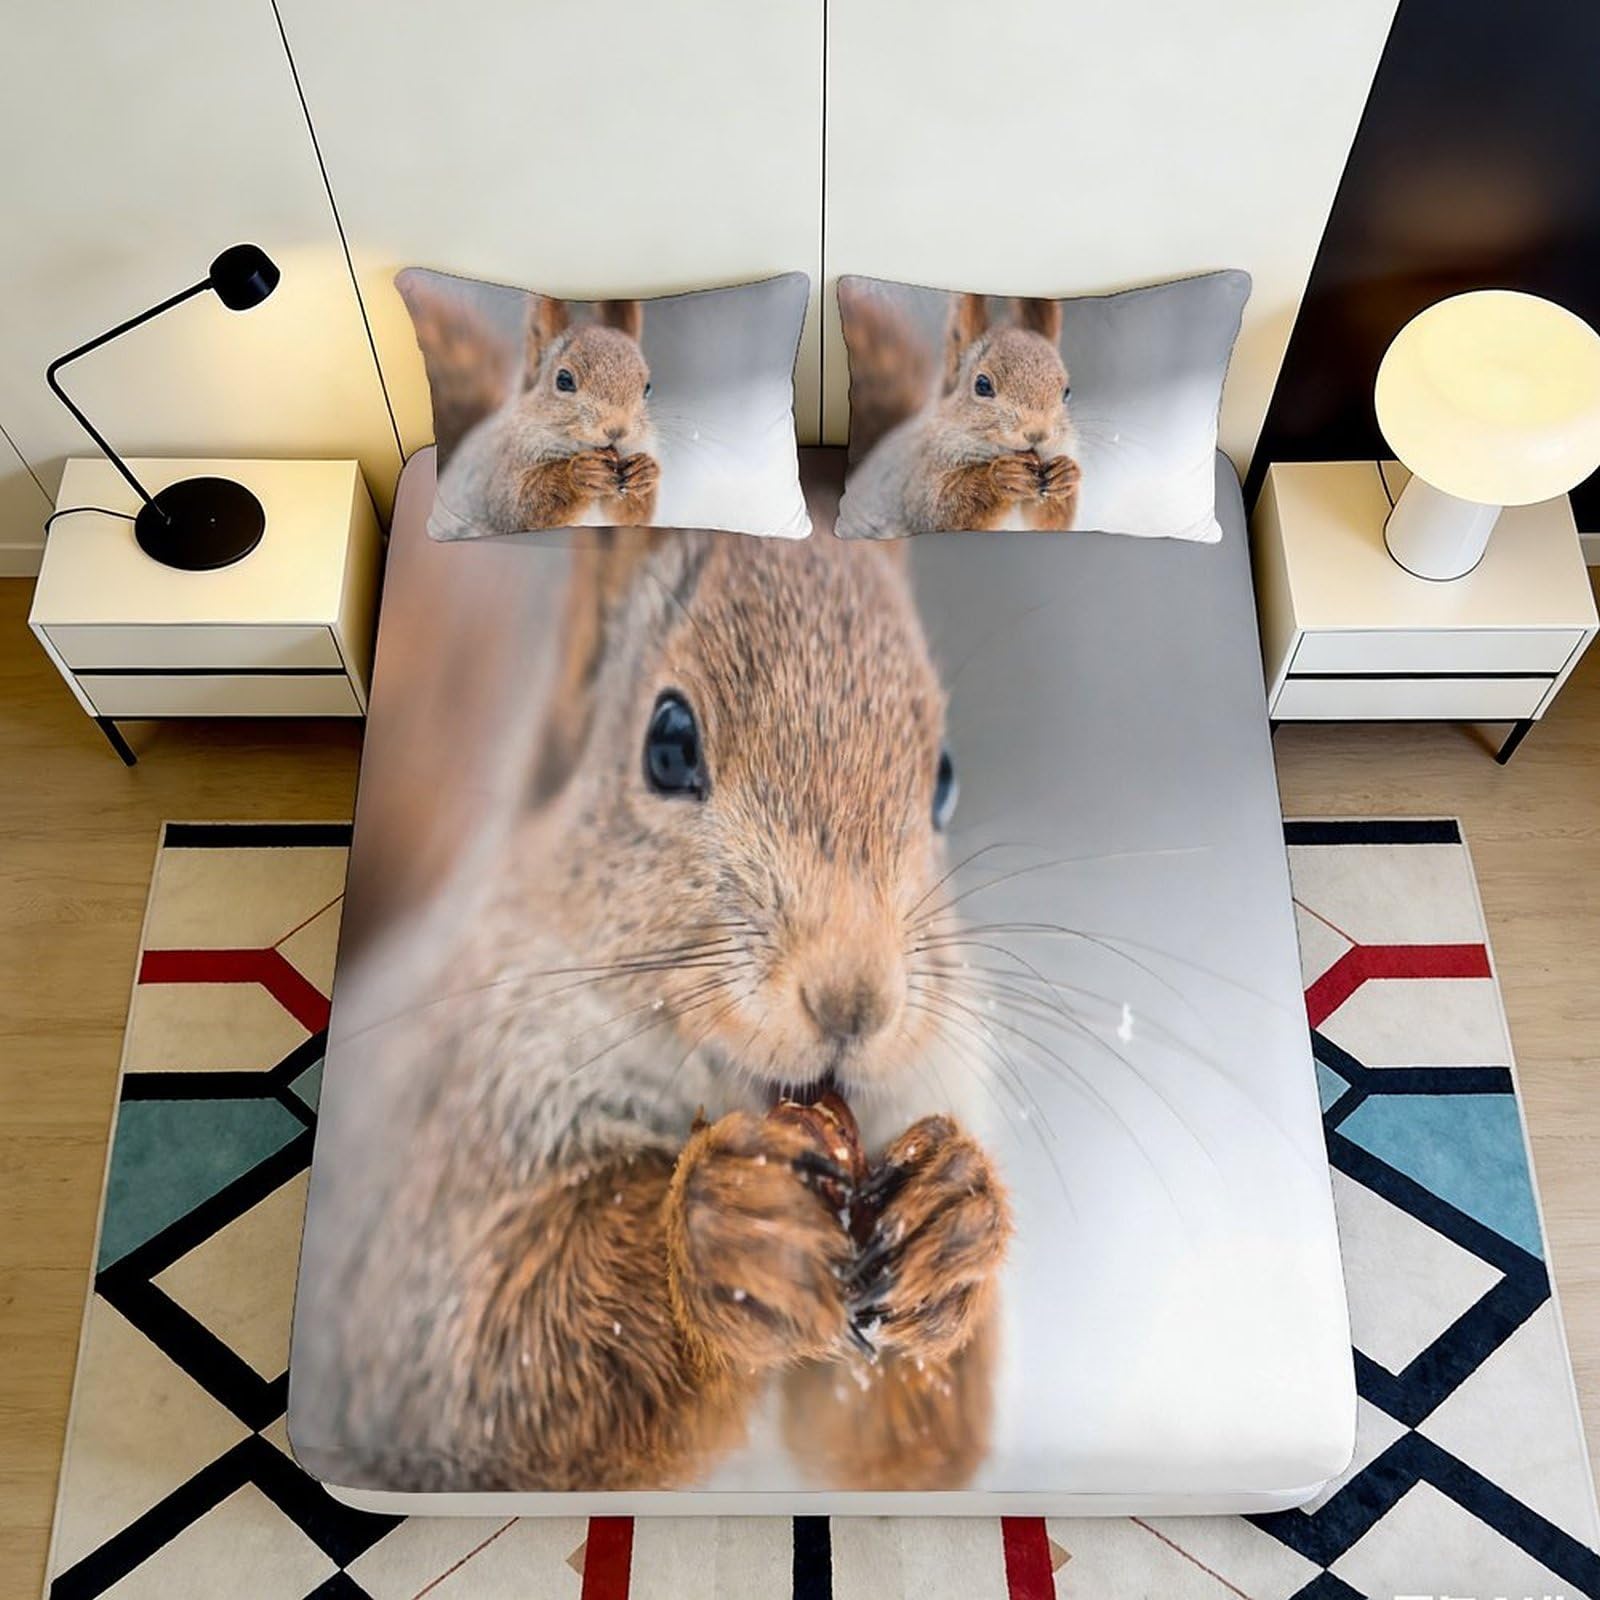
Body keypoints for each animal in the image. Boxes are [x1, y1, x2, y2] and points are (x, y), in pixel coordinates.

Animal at [322, 526, 1013, 1494]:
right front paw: (721, 1228)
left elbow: (887, 1444)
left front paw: (955, 1215)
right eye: (670, 744)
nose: (854, 999)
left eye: (944, 779)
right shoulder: (421, 1205)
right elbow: (495, 1356)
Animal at [396, 269, 660, 533]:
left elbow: (632, 516)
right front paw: (579, 474)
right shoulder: (500, 471)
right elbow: (520, 504)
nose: (617, 430)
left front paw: (645, 472)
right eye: (564, 380)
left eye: (647, 387)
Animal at [838, 285, 1080, 538]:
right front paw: (1001, 477)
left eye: (1067, 392)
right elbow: (942, 506)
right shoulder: (917, 477)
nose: (1038, 433)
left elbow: (1050, 521)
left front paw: (1066, 475)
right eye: (982, 385)